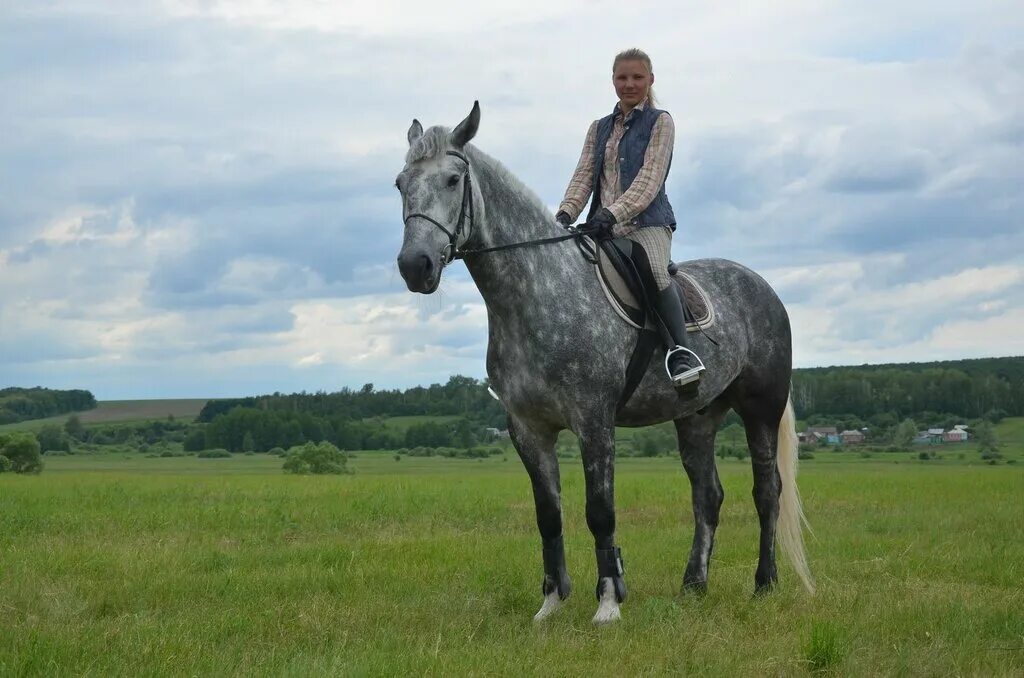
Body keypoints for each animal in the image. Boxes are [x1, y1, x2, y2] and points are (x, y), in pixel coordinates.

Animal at [395, 100, 811, 626]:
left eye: (453, 180)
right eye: (400, 183)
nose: (415, 266)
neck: (537, 292)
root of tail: (762, 286)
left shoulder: (594, 421)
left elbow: (600, 511)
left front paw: (609, 603)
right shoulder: (528, 429)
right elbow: (548, 516)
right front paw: (550, 603)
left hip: (761, 407)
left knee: (766, 490)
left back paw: (764, 583)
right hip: (697, 417)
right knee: (707, 495)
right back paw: (693, 586)